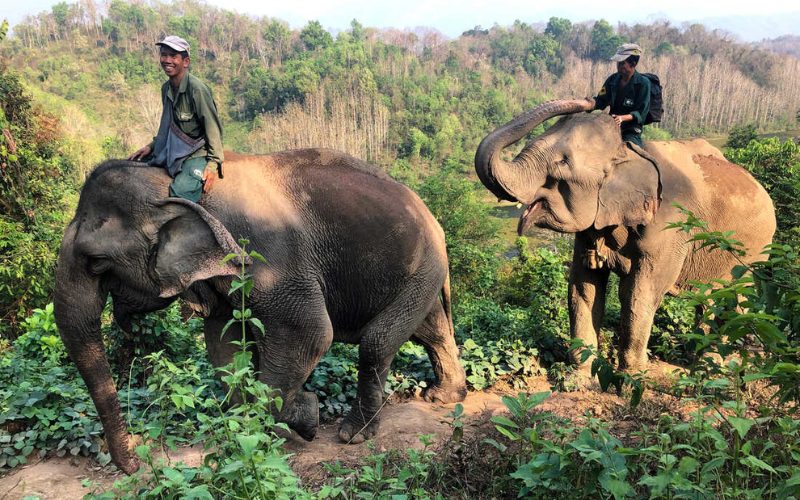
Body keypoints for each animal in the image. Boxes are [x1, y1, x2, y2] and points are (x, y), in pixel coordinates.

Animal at [54, 148, 468, 472]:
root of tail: (434, 220)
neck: (172, 182)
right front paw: (263, 424)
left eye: (96, 262)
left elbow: (308, 333)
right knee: (430, 330)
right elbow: (223, 348)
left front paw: (299, 420)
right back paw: (446, 396)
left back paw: (355, 433)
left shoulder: (269, 256)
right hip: (419, 273)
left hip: (422, 266)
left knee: (377, 342)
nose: (136, 460)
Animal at [476, 99, 776, 376]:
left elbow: (638, 293)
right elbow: (583, 286)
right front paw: (581, 375)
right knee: (712, 297)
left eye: (562, 162)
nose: (589, 100)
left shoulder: (669, 228)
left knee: (735, 296)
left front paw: (631, 376)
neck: (626, 153)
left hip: (753, 251)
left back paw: (714, 367)